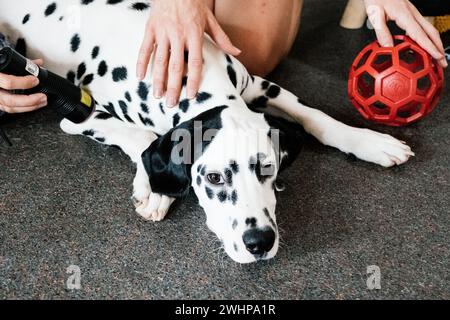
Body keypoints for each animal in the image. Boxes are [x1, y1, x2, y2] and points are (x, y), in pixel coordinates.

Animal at [0, 1, 414, 264]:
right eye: (214, 178)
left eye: (267, 169)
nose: (259, 242)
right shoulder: (78, 111)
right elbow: (144, 138)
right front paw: (154, 188)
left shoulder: (257, 86)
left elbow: (315, 117)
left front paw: (369, 141)